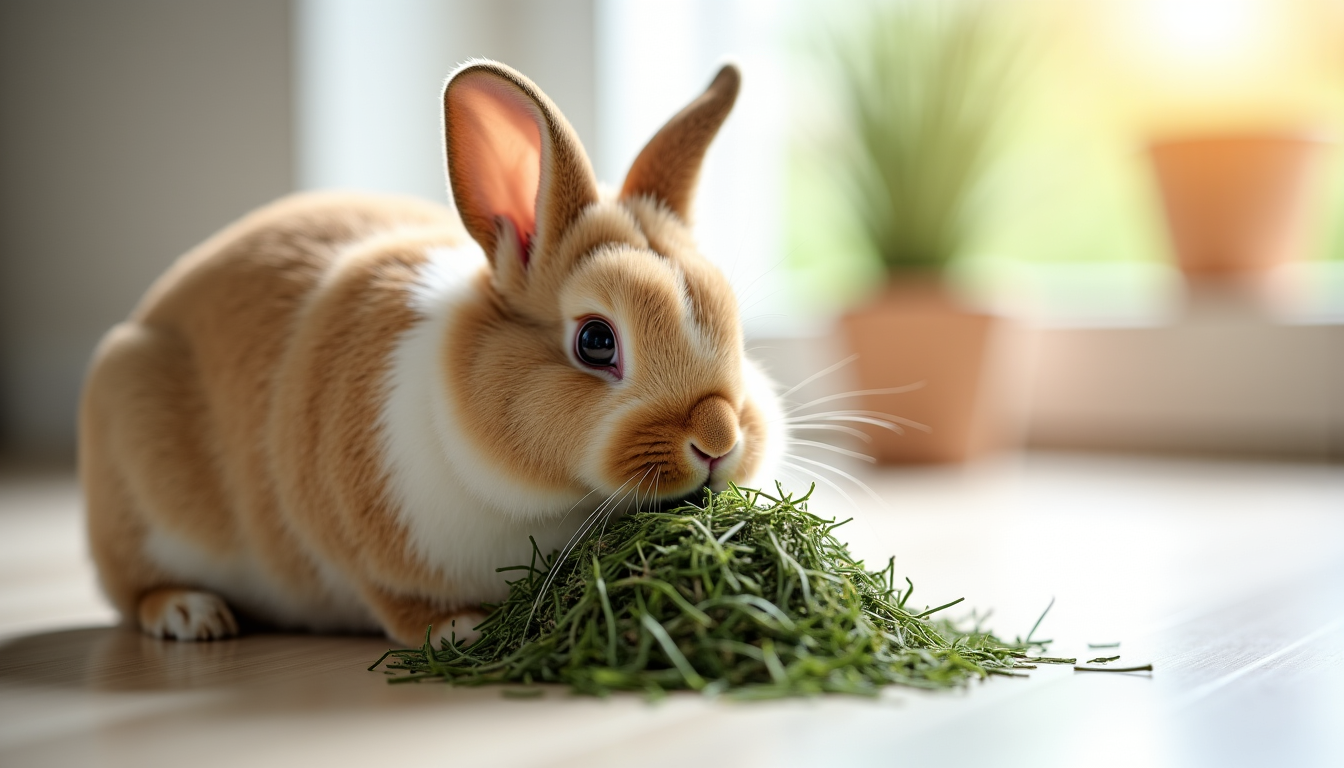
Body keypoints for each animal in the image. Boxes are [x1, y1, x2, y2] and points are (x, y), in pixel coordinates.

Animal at [79, 59, 785, 646]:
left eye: (732, 318)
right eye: (595, 340)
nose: (717, 440)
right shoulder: (353, 542)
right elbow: (394, 600)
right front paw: (459, 630)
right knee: (132, 591)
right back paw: (192, 615)